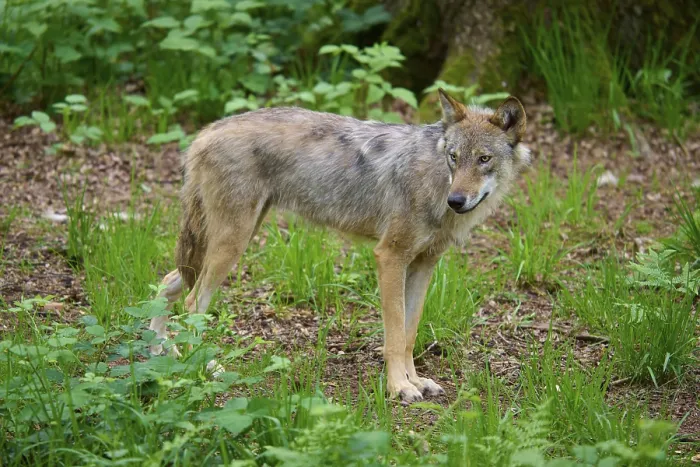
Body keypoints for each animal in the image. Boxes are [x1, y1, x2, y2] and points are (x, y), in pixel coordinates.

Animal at [148, 89, 531, 403]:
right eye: (454, 156)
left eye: (483, 159)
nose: (457, 200)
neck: (434, 180)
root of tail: (207, 130)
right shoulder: (390, 257)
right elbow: (394, 336)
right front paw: (399, 387)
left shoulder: (423, 265)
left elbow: (409, 333)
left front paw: (417, 381)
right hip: (232, 244)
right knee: (192, 303)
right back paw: (201, 367)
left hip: (226, 243)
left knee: (166, 282)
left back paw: (159, 351)